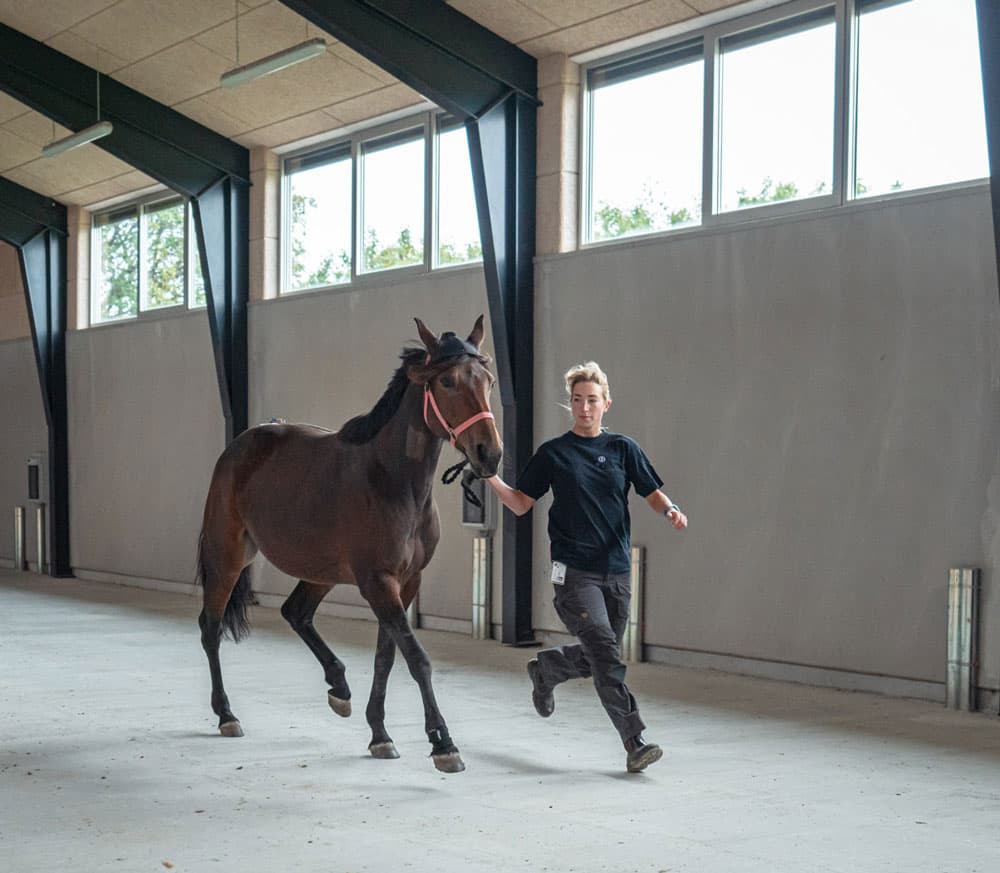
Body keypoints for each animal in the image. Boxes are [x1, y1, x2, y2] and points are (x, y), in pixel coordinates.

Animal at [196, 316, 504, 772]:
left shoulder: (405, 582)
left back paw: (338, 687)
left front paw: (379, 734)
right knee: (212, 628)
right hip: (227, 557)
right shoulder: (377, 581)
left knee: (296, 612)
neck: (392, 480)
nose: (489, 454)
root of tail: (241, 443)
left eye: (488, 380)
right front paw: (443, 743)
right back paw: (226, 714)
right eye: (447, 381)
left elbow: (387, 656)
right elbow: (417, 658)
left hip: (320, 571)